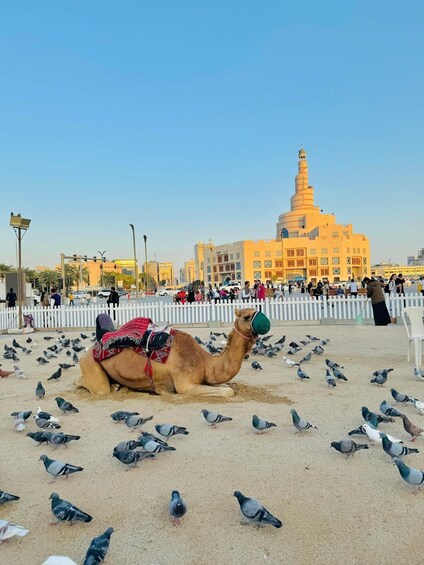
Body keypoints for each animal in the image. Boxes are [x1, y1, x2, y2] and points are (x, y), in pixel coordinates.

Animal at [76, 308, 270, 396]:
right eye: (246, 316)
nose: (266, 322)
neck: (205, 362)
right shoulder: (185, 385)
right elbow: (229, 392)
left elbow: (228, 387)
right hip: (90, 364)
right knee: (92, 386)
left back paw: (118, 386)